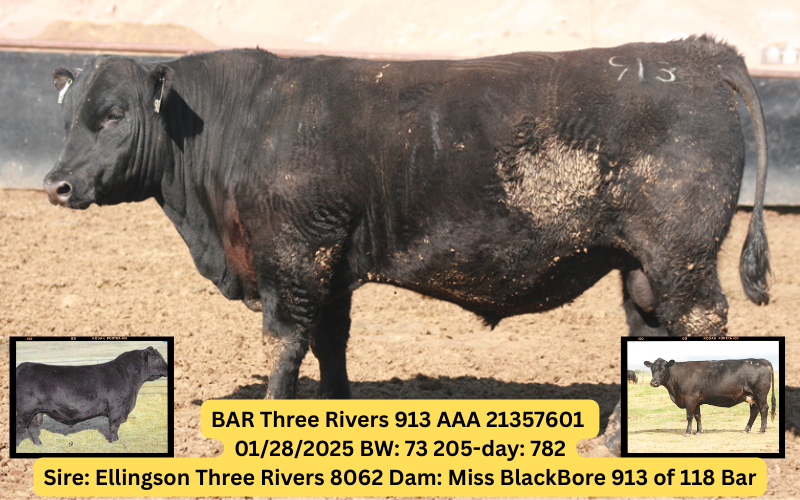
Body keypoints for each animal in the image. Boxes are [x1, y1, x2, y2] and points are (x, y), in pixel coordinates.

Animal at [15, 347, 168, 446]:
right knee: (19, 429)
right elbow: (114, 427)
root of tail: (23, 366)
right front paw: (113, 443)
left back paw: (39, 445)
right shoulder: (116, 409)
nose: (168, 368)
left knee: (32, 429)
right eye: (156, 358)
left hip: (34, 413)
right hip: (24, 412)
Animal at [644, 357, 776, 436]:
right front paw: (699, 431)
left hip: (760, 394)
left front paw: (688, 432)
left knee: (764, 409)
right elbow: (697, 416)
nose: (653, 382)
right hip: (751, 396)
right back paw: (746, 429)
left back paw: (762, 430)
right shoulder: (696, 400)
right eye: (652, 369)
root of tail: (763, 360)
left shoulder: (690, 398)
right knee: (754, 411)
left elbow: (689, 416)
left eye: (662, 368)